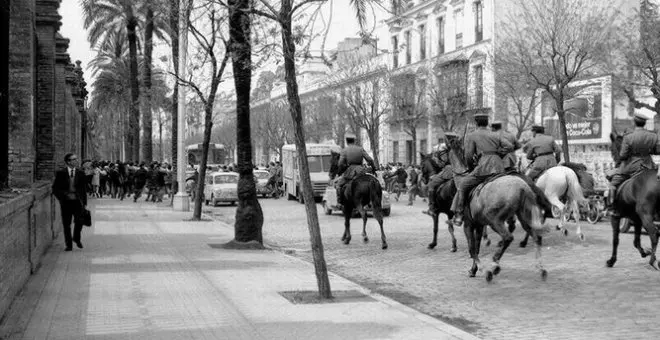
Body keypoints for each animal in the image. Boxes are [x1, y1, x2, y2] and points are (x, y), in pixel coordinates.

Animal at [444, 136, 552, 282]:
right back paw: (540, 268)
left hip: (495, 221)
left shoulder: (468, 225)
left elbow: (472, 249)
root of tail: (522, 186)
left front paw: (481, 269)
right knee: (536, 237)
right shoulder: (479, 225)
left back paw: (494, 266)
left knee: (508, 237)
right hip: (524, 218)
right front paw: (473, 270)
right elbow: (477, 247)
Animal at [608, 133, 660, 268]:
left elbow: (615, 240)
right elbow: (636, 241)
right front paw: (645, 252)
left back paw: (653, 262)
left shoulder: (615, 217)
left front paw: (611, 260)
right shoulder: (636, 219)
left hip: (645, 214)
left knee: (654, 234)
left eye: (611, 149)